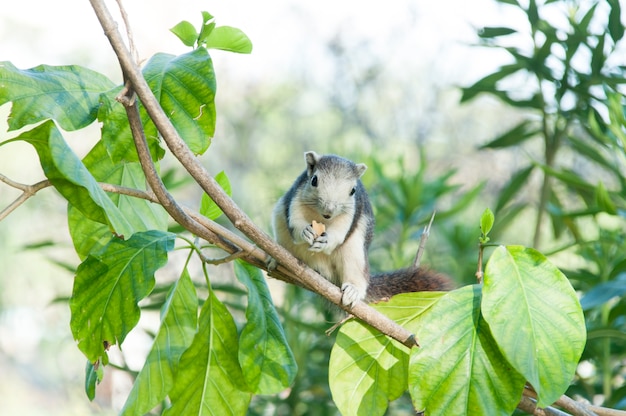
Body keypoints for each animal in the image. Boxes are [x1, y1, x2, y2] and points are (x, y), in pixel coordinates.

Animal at [270, 151, 450, 308]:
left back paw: (353, 291)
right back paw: (274, 260)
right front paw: (305, 231)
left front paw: (327, 240)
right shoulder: (295, 198)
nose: (329, 210)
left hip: (354, 253)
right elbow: (295, 222)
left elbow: (339, 233)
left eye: (353, 190)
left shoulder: (351, 214)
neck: (321, 218)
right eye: (314, 180)